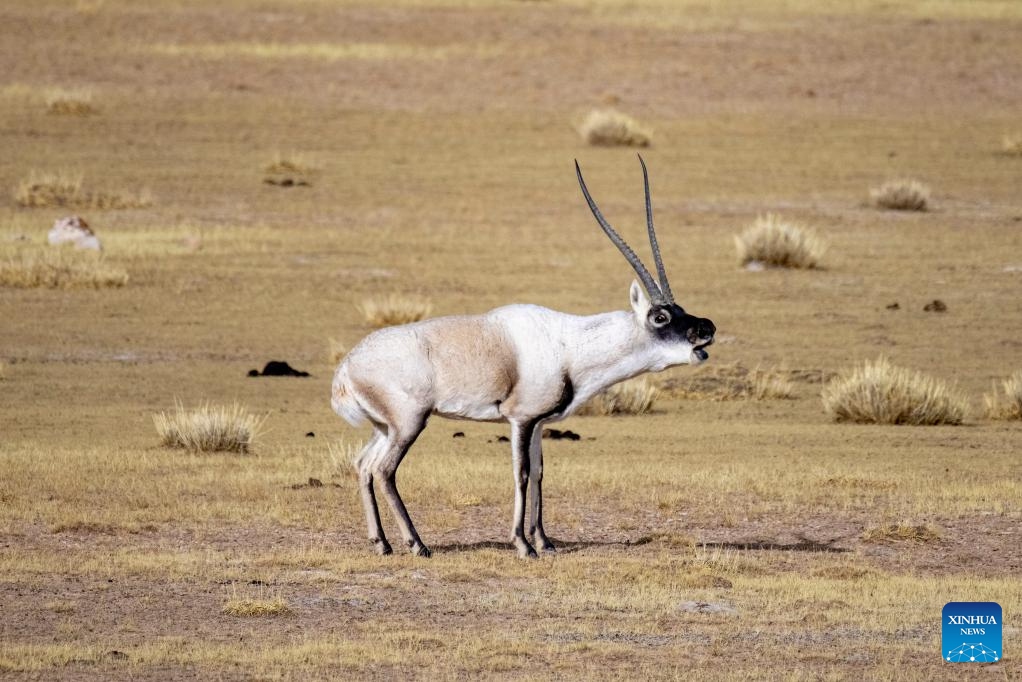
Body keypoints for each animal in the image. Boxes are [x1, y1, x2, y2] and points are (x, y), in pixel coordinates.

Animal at [331, 156, 715, 560]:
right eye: (660, 317)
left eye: (679, 308)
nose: (707, 327)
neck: (570, 345)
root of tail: (345, 369)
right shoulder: (520, 419)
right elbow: (522, 473)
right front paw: (522, 544)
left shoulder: (540, 423)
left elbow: (541, 473)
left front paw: (544, 540)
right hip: (409, 423)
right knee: (384, 470)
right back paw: (417, 544)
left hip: (384, 426)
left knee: (364, 465)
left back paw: (382, 543)